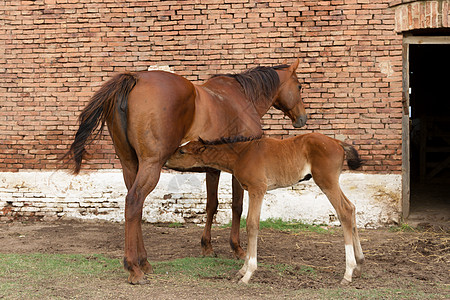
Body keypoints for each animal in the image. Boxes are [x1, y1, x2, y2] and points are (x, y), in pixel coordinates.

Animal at [167, 133, 364, 284]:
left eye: (182, 151)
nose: (166, 160)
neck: (242, 153)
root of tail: (338, 143)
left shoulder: (258, 189)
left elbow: (252, 225)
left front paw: (248, 273)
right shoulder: (251, 190)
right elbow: (249, 223)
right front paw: (242, 269)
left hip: (326, 182)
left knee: (344, 211)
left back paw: (348, 272)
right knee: (352, 208)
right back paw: (359, 264)